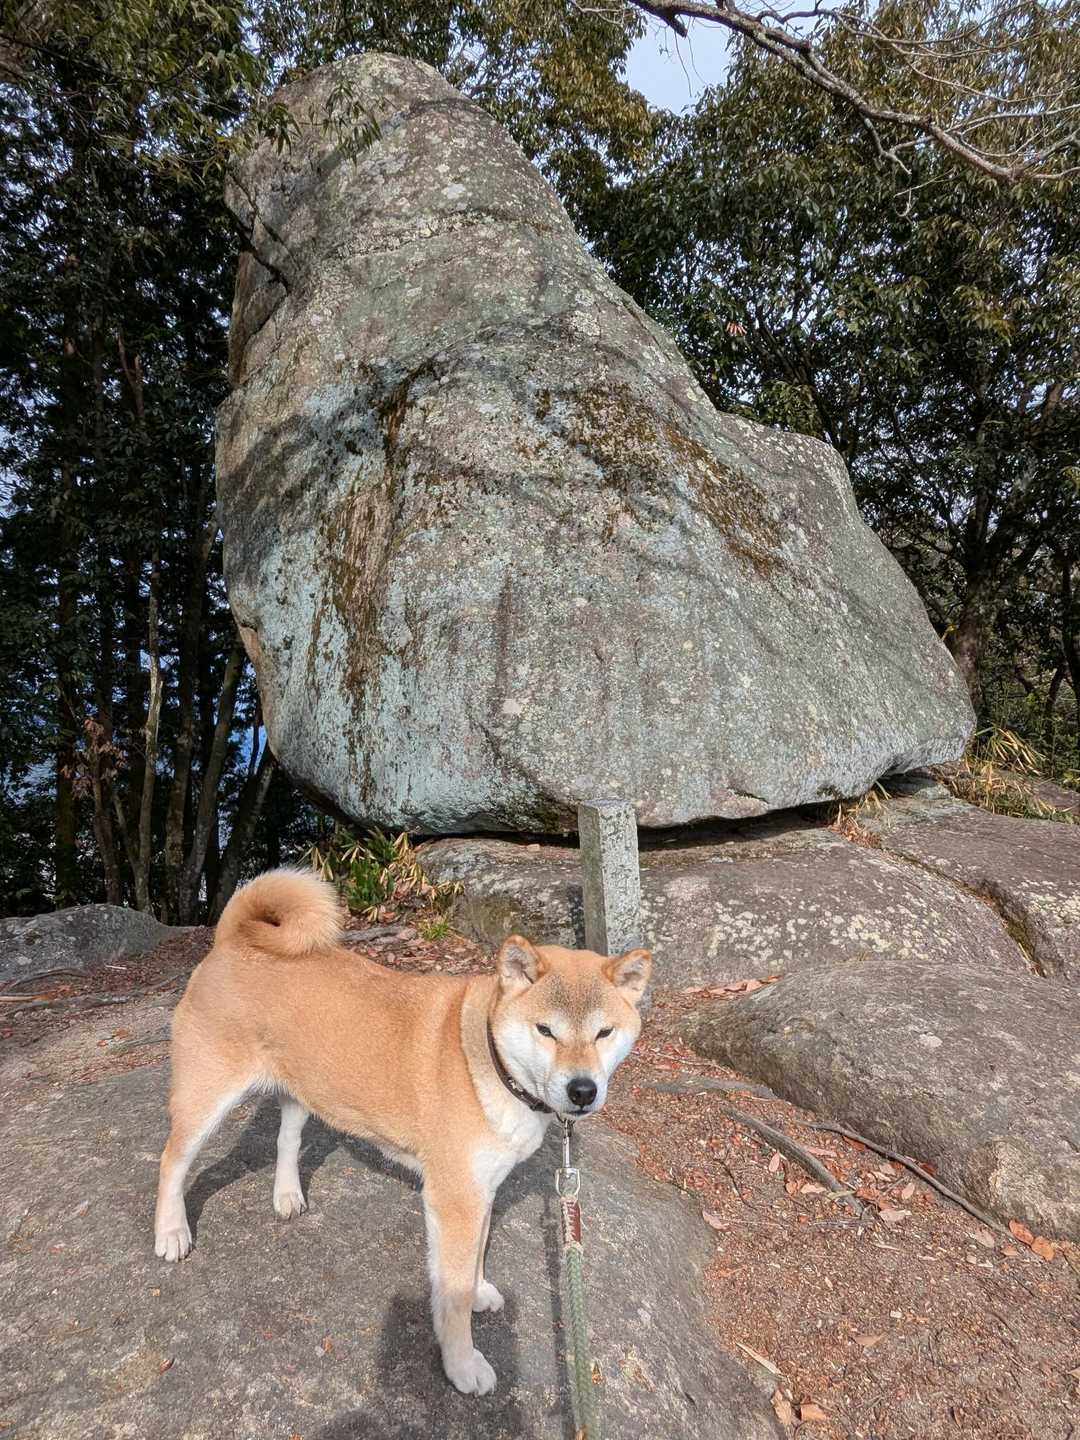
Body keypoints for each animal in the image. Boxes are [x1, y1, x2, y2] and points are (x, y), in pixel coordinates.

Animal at [154, 868, 651, 1395]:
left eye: (604, 1033)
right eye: (546, 1030)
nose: (582, 1090)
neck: (487, 1060)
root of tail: (230, 940)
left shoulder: (481, 1192)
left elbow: (474, 1259)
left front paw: (479, 1291)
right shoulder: (455, 1199)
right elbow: (452, 1293)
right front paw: (462, 1363)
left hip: (302, 1091)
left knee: (286, 1140)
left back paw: (287, 1195)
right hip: (206, 1097)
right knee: (172, 1160)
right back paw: (171, 1232)